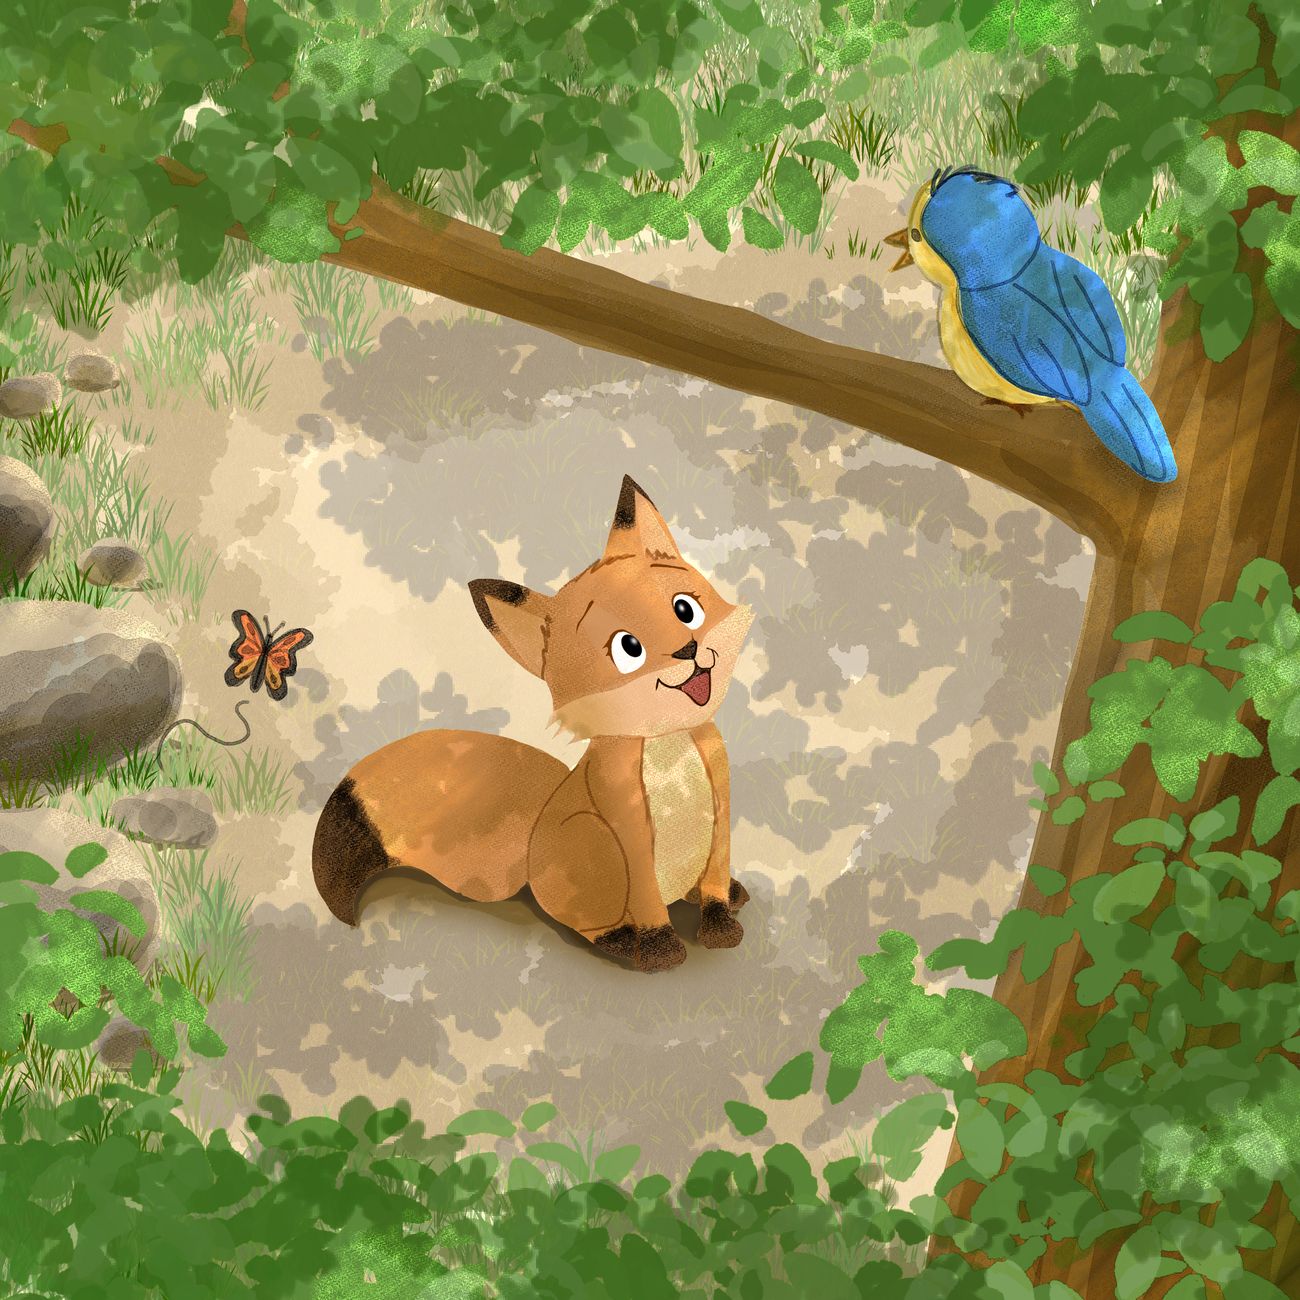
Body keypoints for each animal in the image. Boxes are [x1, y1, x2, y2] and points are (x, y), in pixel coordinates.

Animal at [311, 476, 755, 973]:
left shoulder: (720, 801)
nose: (688, 649)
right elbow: (647, 900)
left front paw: (720, 927)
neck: (666, 743)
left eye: (684, 609)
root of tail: (529, 852)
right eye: (629, 648)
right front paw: (661, 952)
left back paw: (728, 893)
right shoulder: (627, 825)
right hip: (592, 839)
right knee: (589, 922)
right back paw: (622, 943)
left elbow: (715, 880)